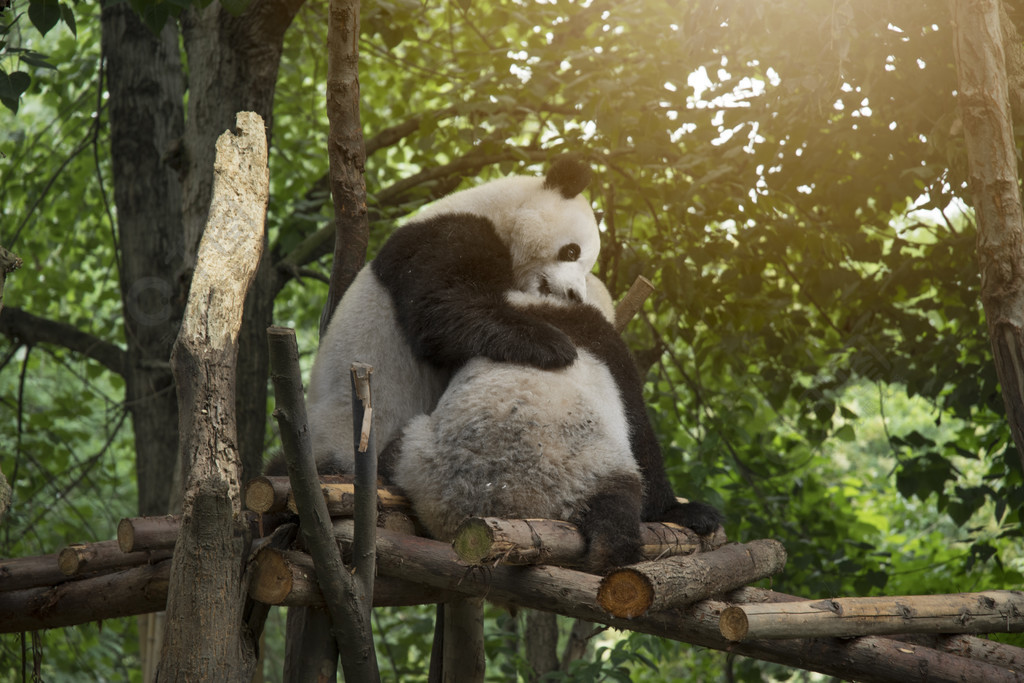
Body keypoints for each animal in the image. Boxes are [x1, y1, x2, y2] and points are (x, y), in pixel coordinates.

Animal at [307, 156, 602, 473]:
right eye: (571, 251)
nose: (574, 295)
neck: (498, 211)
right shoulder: (443, 236)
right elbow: (443, 310)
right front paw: (554, 344)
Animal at [385, 272, 729, 573]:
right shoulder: (602, 341)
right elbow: (639, 431)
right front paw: (685, 511)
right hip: (577, 470)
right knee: (616, 503)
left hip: (418, 450)